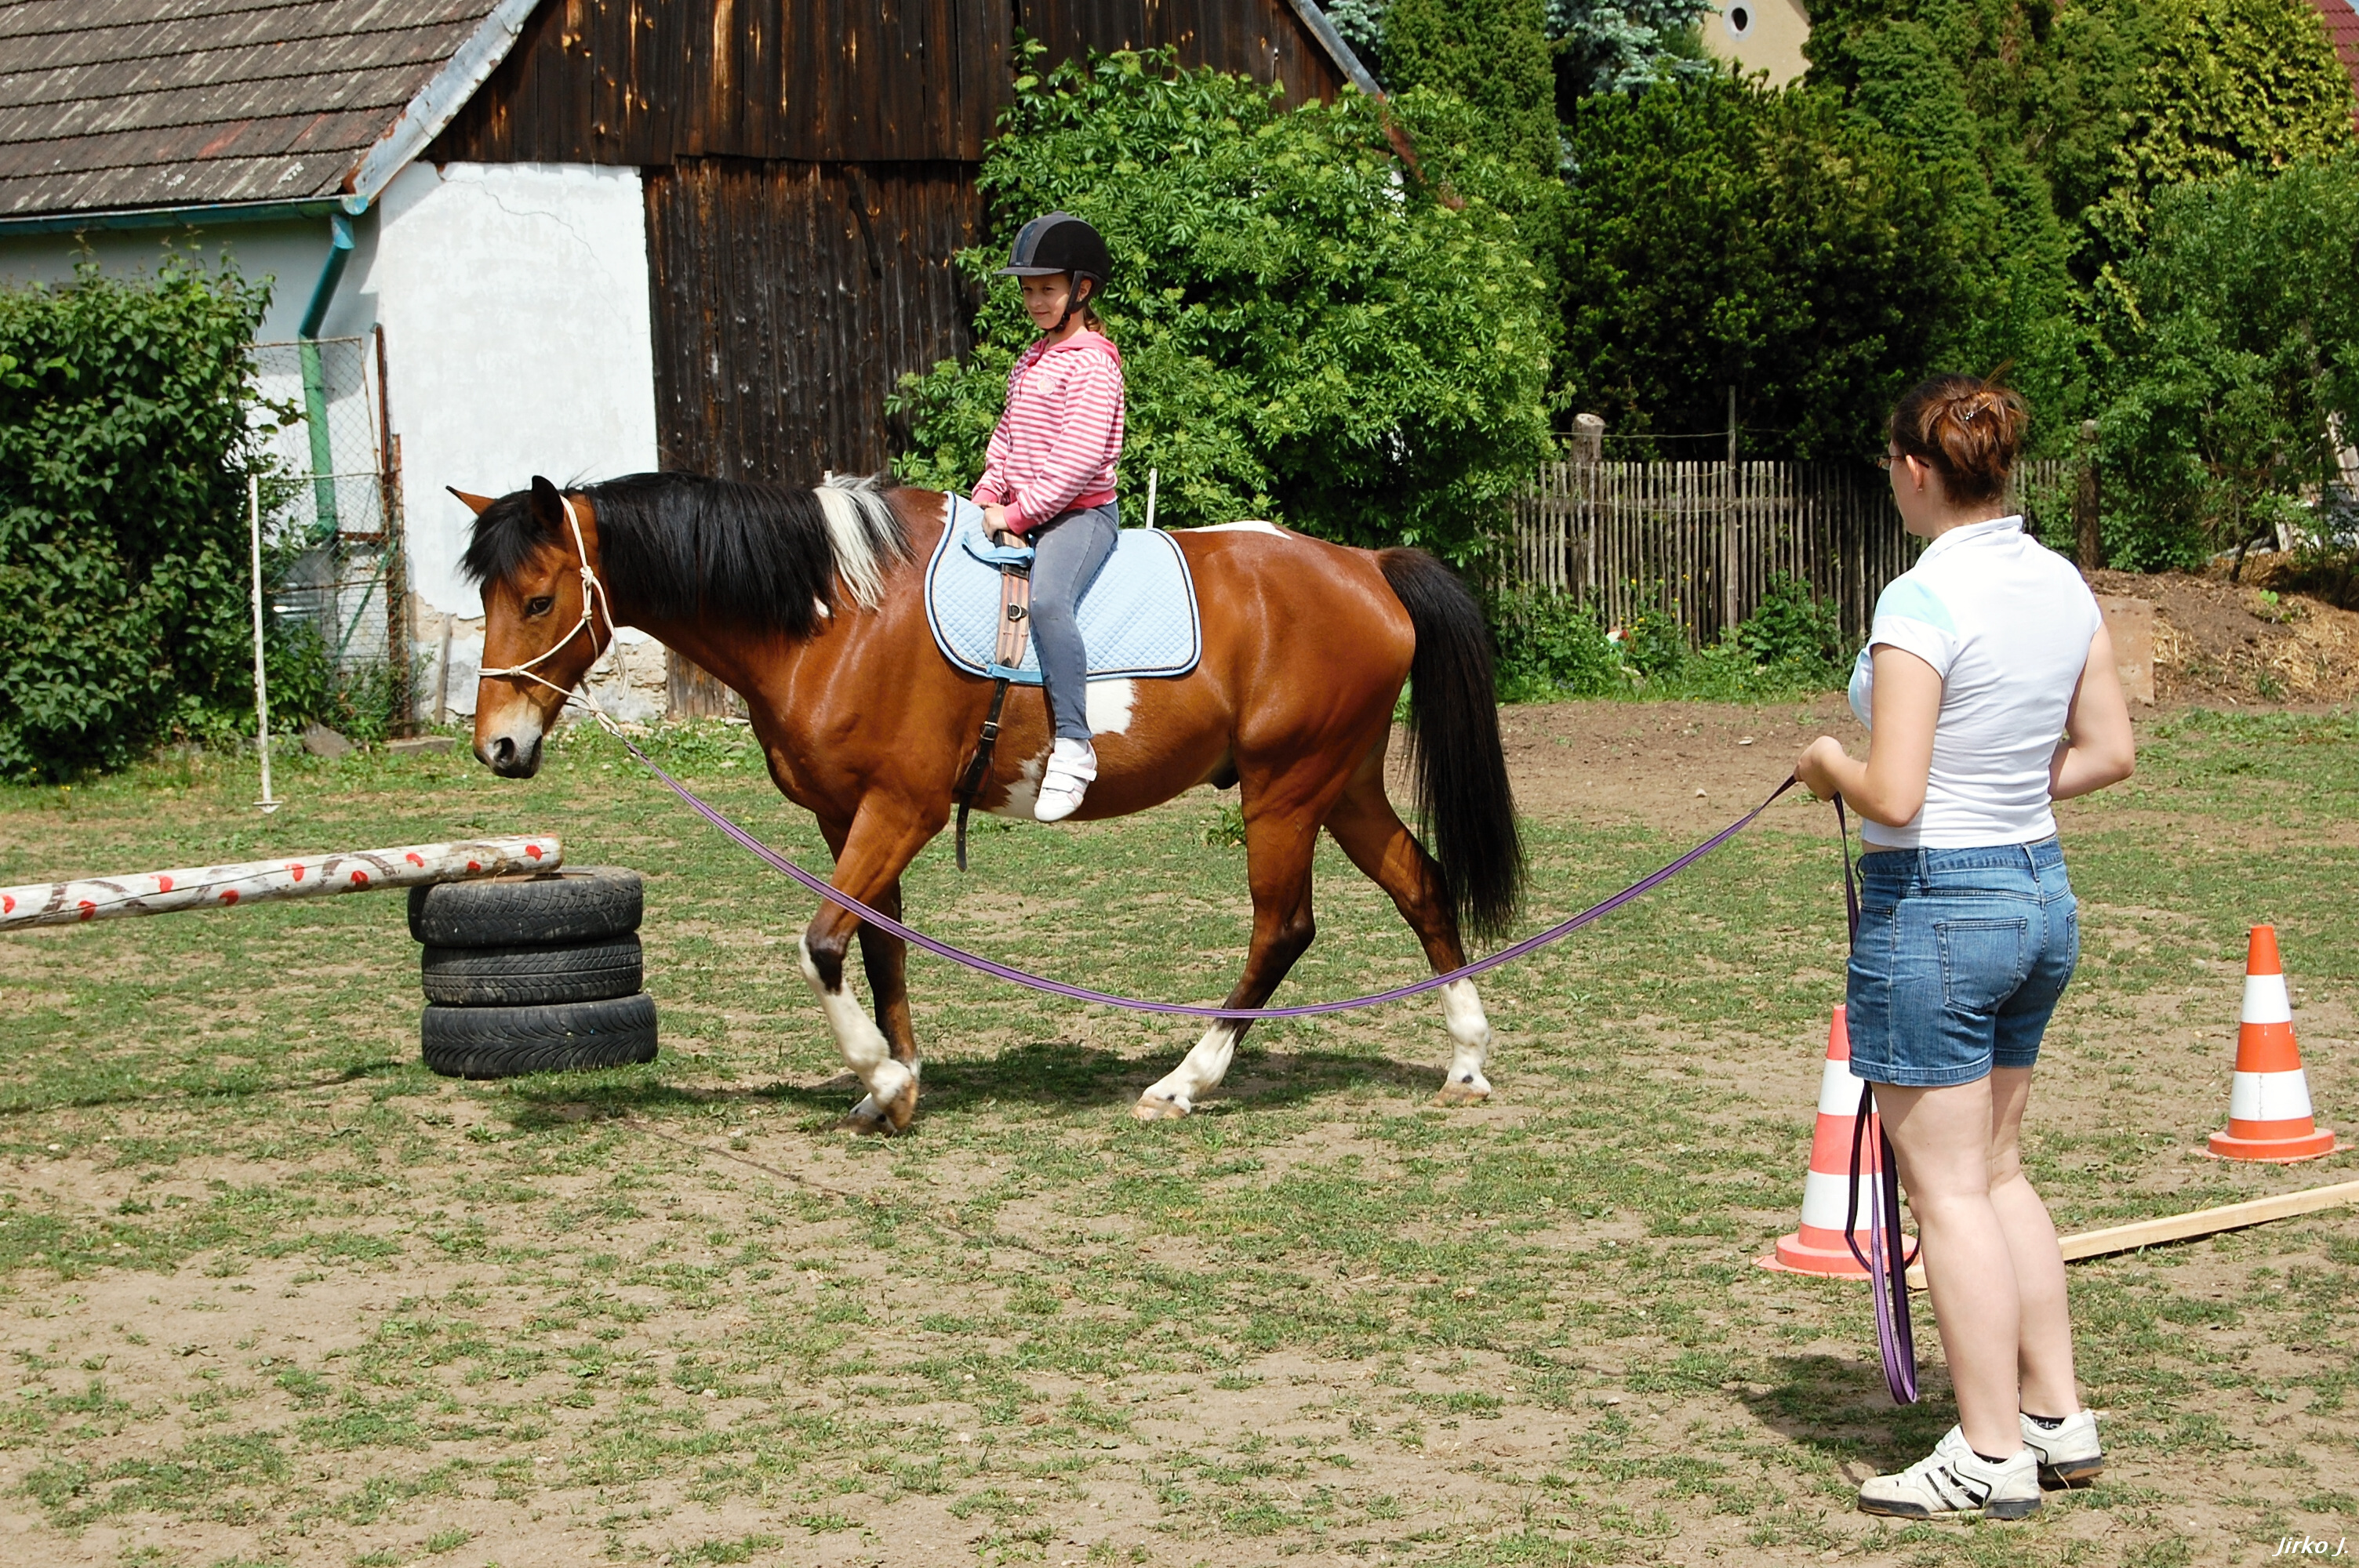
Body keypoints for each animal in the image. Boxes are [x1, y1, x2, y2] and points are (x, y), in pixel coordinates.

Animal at [455, 471, 1528, 1131]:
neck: (836, 616)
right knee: (1421, 885)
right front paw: (892, 1089)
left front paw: (882, 1071)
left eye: (540, 600)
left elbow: (821, 943)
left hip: (1286, 789)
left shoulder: (901, 810)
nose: (496, 745)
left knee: (1283, 928)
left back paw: (1184, 1081)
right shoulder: (848, 817)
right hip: (1340, 784)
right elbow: (877, 945)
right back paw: (1467, 1061)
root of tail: (1364, 564)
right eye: (488, 599)